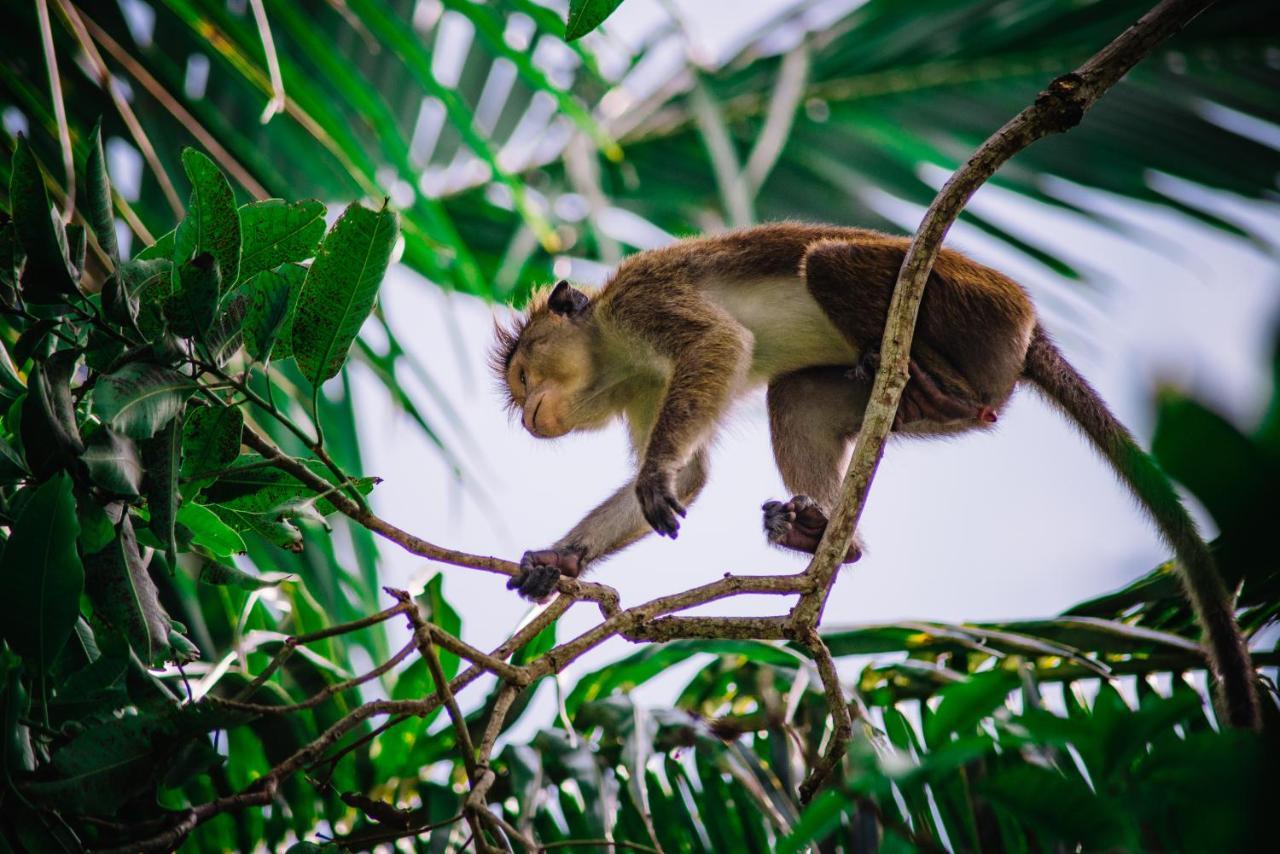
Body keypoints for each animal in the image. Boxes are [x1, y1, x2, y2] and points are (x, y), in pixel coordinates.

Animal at [488, 220, 1259, 727]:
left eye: (525, 375)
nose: (527, 416)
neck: (613, 351)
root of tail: (1029, 327)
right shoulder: (643, 387)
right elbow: (694, 474)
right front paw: (559, 559)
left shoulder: (644, 302)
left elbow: (718, 344)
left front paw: (650, 483)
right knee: (796, 396)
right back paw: (834, 535)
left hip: (972, 306)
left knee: (830, 261)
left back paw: (935, 388)